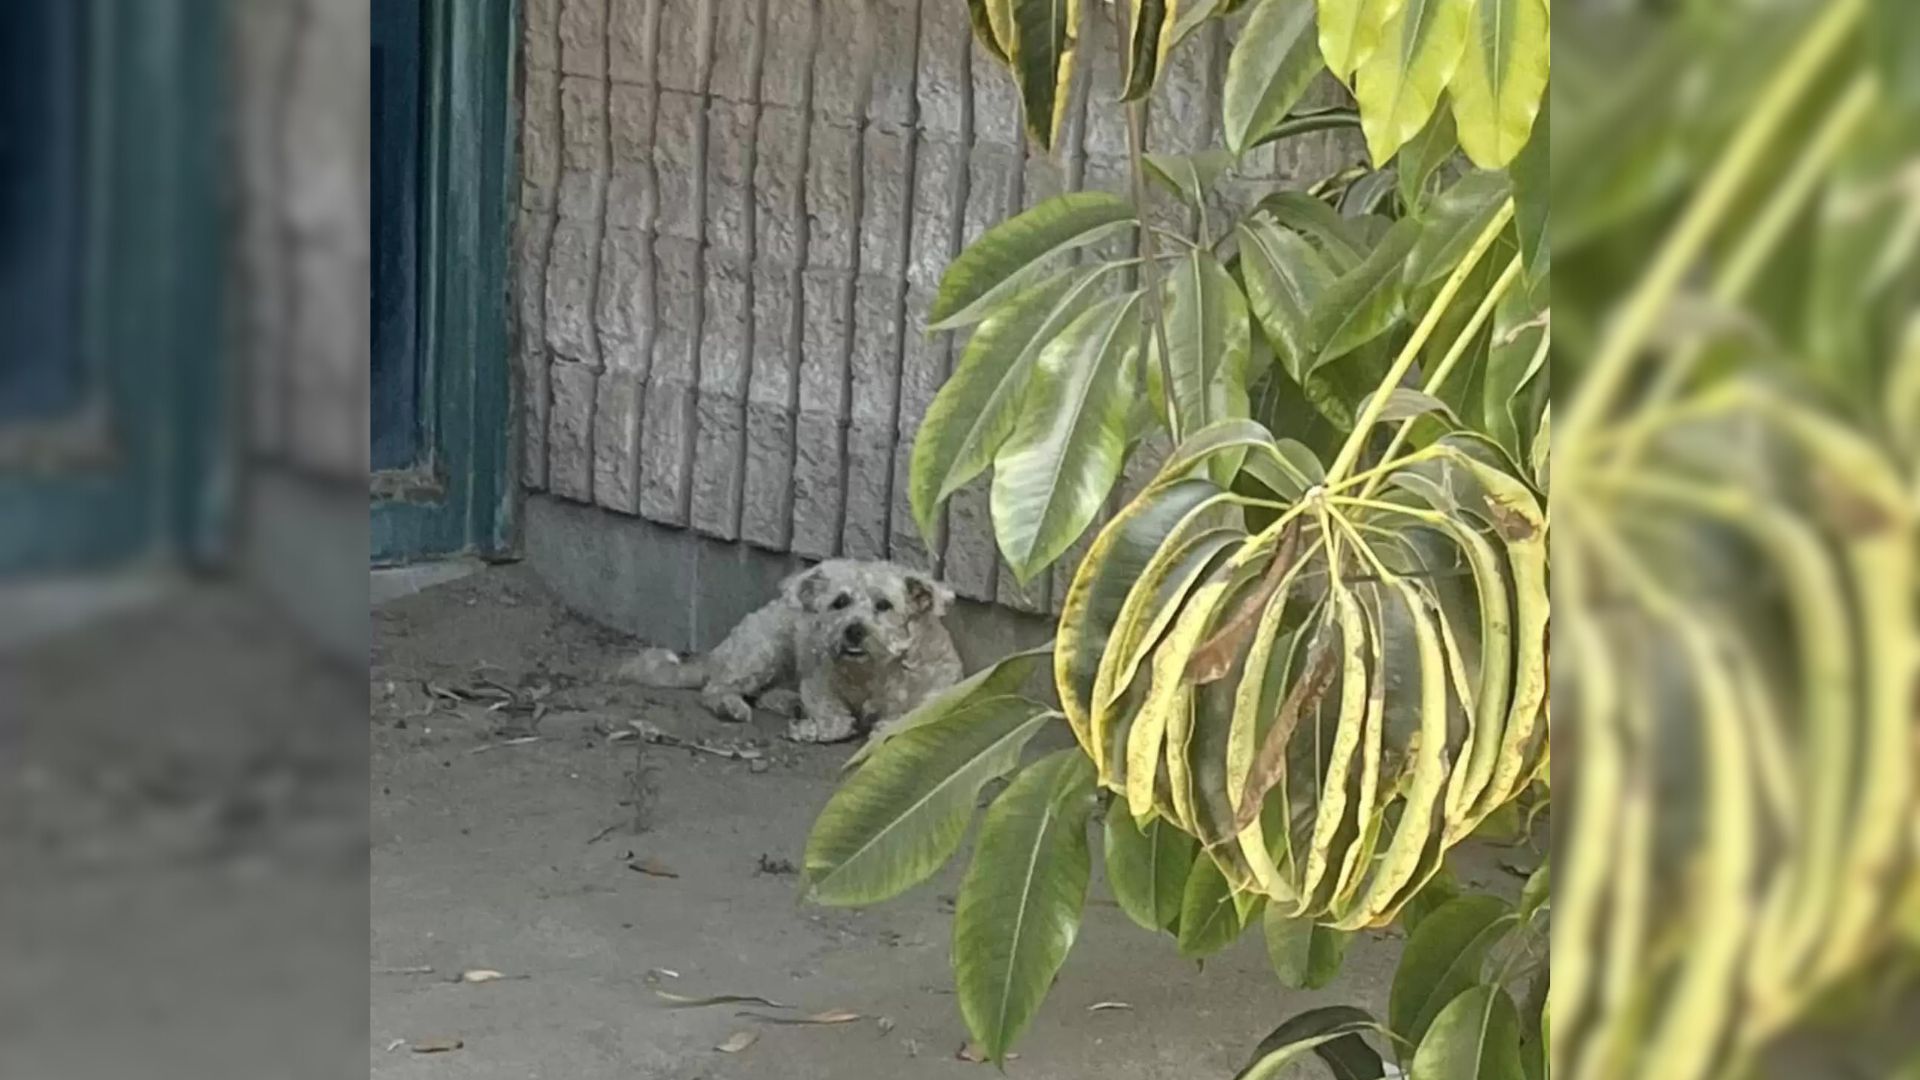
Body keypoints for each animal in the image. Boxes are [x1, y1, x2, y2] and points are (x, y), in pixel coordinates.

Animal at [614, 553, 960, 737]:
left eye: (884, 605)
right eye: (840, 602)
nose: (853, 631)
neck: (873, 672)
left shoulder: (936, 695)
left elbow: (899, 720)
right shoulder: (817, 686)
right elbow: (837, 720)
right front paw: (811, 729)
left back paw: (786, 703)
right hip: (764, 651)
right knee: (717, 688)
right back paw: (732, 705)